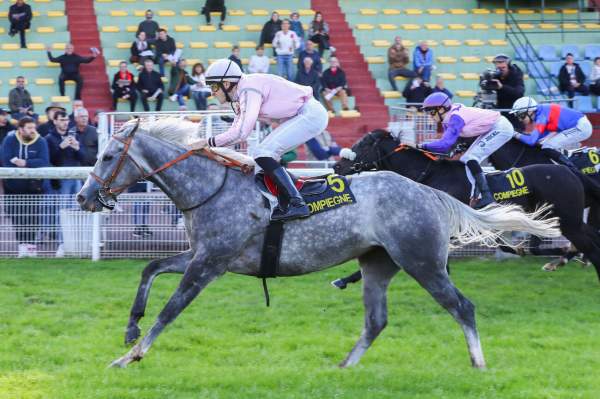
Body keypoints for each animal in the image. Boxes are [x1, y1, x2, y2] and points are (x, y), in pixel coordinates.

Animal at [77, 119, 560, 372]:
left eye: (107, 156)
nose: (83, 197)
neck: (210, 188)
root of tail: (432, 194)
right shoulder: (206, 256)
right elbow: (151, 268)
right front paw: (130, 329)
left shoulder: (210, 263)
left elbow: (170, 309)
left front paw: (131, 355)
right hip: (378, 264)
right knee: (376, 321)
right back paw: (344, 369)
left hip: (422, 262)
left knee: (462, 307)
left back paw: (478, 364)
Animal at [332, 130, 600, 290]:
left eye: (363, 144)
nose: (337, 166)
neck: (430, 176)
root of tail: (570, 171)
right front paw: (343, 279)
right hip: (566, 218)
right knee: (591, 237)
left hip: (567, 219)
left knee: (589, 243)